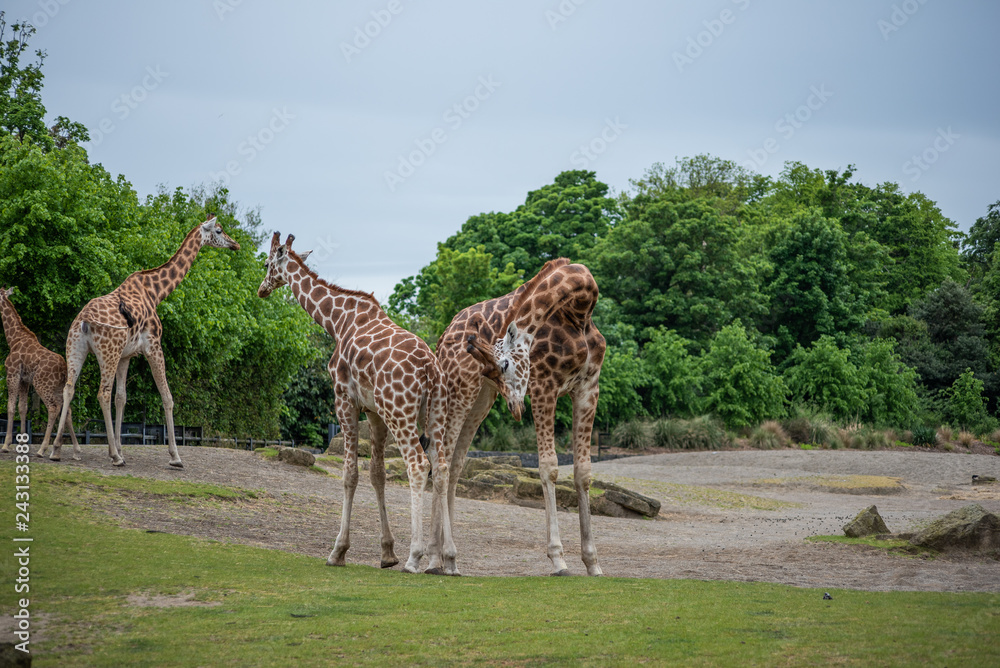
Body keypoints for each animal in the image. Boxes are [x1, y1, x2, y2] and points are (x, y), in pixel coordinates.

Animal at [0, 284, 80, 462]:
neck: (13, 338)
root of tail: (64, 367)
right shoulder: (24, 380)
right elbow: (23, 408)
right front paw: (22, 444)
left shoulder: (12, 374)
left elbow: (10, 407)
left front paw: (6, 445)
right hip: (56, 387)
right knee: (67, 410)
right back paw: (74, 451)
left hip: (42, 384)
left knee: (53, 408)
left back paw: (43, 449)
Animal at [50, 217, 240, 468]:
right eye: (219, 230)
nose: (235, 244)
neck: (156, 292)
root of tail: (84, 322)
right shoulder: (153, 346)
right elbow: (167, 397)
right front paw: (175, 457)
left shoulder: (126, 355)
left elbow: (122, 398)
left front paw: (121, 449)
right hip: (108, 352)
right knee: (102, 393)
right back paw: (114, 458)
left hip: (75, 348)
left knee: (69, 388)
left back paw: (56, 450)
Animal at [256, 232, 452, 572]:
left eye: (267, 263)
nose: (262, 289)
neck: (336, 320)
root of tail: (429, 367)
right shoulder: (374, 412)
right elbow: (377, 474)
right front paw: (387, 553)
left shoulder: (344, 399)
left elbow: (350, 474)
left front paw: (338, 551)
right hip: (435, 413)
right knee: (440, 467)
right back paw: (439, 560)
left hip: (400, 412)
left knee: (417, 464)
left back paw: (415, 557)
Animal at [436, 258, 604, 576]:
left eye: (501, 366)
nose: (515, 408)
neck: (579, 311)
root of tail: (443, 337)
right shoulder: (544, 386)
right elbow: (549, 467)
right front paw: (558, 559)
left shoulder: (588, 386)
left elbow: (584, 471)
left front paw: (592, 563)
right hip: (459, 389)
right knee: (440, 461)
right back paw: (435, 558)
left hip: (481, 400)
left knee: (456, 464)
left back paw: (444, 561)